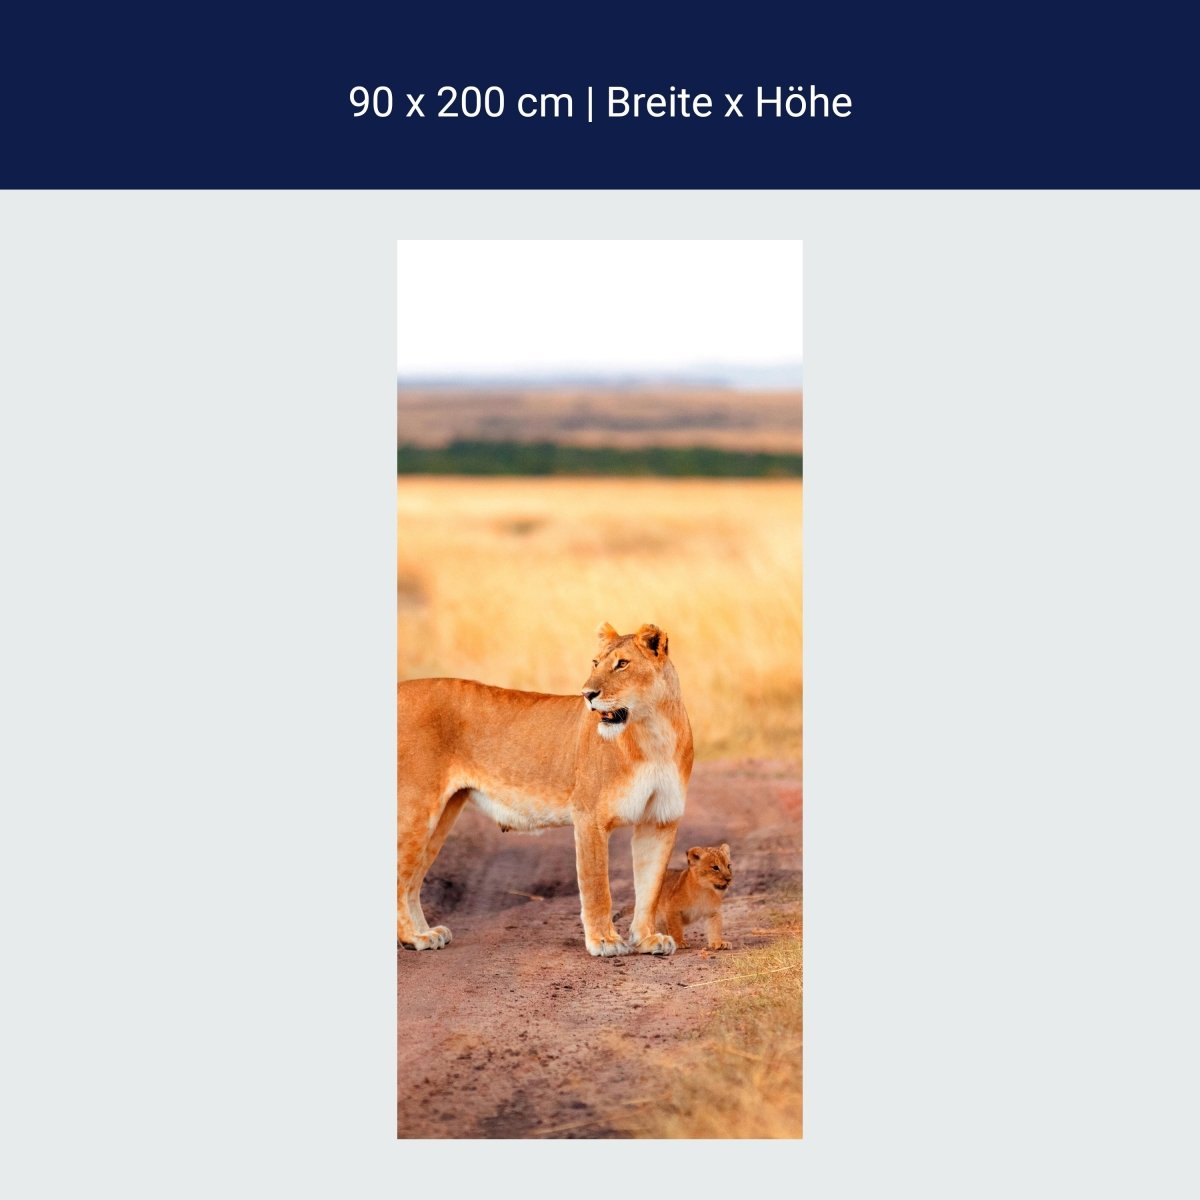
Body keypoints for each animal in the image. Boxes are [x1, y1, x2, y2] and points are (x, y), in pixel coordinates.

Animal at [397, 622, 693, 957]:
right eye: (595, 663)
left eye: (622, 664)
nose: (587, 694)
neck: (654, 733)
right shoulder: (589, 816)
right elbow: (596, 886)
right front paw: (604, 940)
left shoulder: (659, 820)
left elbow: (650, 887)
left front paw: (646, 939)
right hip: (416, 808)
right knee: (399, 877)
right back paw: (414, 937)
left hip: (443, 815)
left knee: (412, 881)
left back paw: (426, 933)